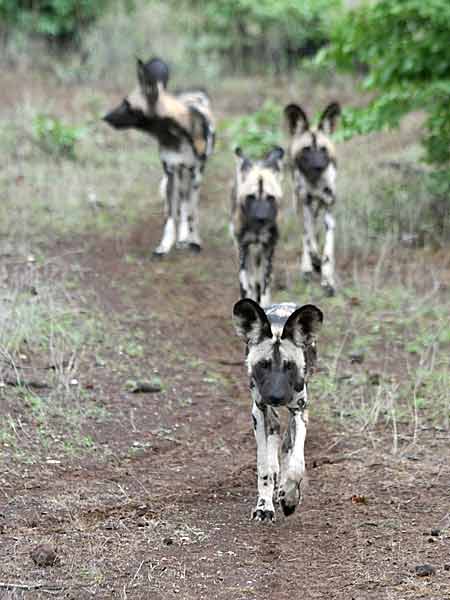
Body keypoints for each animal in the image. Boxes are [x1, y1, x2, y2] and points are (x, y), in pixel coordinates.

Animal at [103, 57, 214, 258]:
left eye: (127, 104)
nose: (105, 117)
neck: (175, 134)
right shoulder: (171, 172)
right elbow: (170, 217)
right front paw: (165, 246)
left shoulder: (195, 174)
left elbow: (192, 213)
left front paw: (194, 241)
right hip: (179, 176)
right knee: (180, 204)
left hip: (190, 176)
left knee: (186, 204)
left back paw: (185, 237)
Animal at [232, 144, 284, 304]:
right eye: (251, 197)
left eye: (270, 198)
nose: (261, 218)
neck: (257, 229)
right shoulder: (243, 248)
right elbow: (245, 286)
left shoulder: (268, 248)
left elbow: (265, 287)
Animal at [232, 298, 324, 520]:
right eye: (263, 365)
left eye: (289, 366)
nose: (276, 396)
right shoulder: (259, 411)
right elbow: (263, 466)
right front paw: (264, 506)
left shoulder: (300, 411)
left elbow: (297, 465)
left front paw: (290, 498)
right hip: (268, 415)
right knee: (274, 439)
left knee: (287, 445)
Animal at [284, 102, 342, 296]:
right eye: (307, 149)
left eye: (323, 149)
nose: (318, 166)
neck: (315, 182)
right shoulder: (306, 203)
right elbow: (308, 237)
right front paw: (313, 261)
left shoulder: (329, 209)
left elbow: (328, 250)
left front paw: (328, 280)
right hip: (298, 203)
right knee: (306, 233)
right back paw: (308, 266)